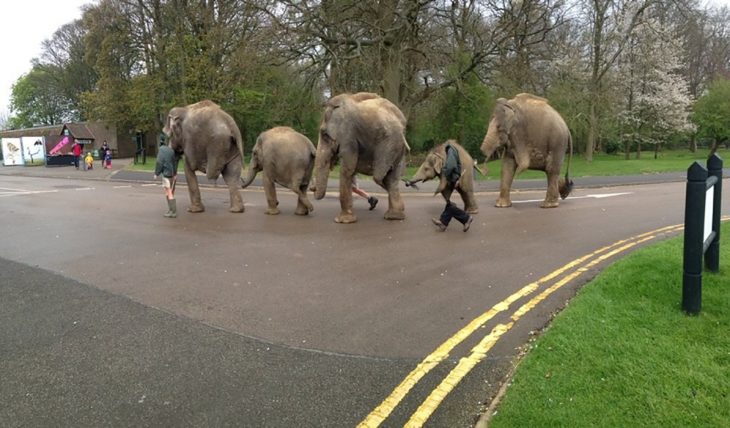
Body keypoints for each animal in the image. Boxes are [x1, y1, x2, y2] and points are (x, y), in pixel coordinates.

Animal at [312, 91, 410, 222]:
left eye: (325, 135)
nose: (312, 187)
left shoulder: (349, 136)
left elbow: (347, 169)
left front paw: (343, 221)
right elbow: (351, 171)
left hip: (391, 145)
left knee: (379, 177)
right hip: (399, 148)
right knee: (391, 177)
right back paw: (395, 215)